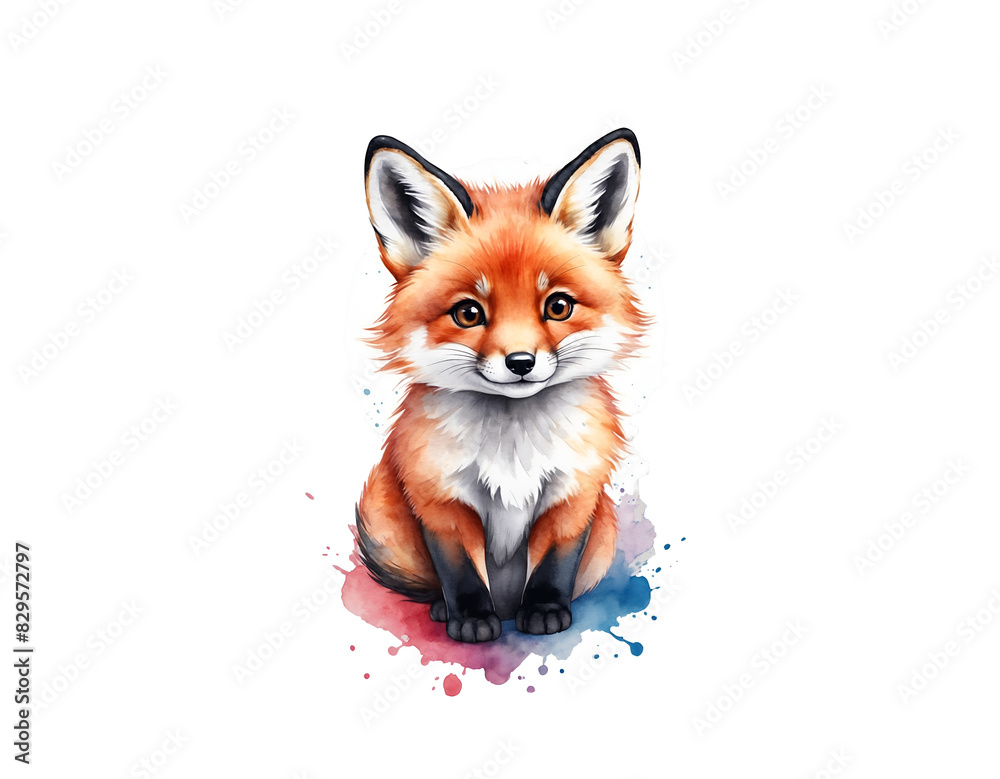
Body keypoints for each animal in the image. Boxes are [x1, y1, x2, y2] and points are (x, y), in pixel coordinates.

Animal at [355, 128, 647, 643]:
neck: (513, 448)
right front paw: (472, 620)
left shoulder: (573, 496)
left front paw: (545, 611)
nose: (521, 362)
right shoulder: (441, 500)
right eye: (469, 313)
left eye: (558, 306)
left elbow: (554, 566)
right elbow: (461, 573)